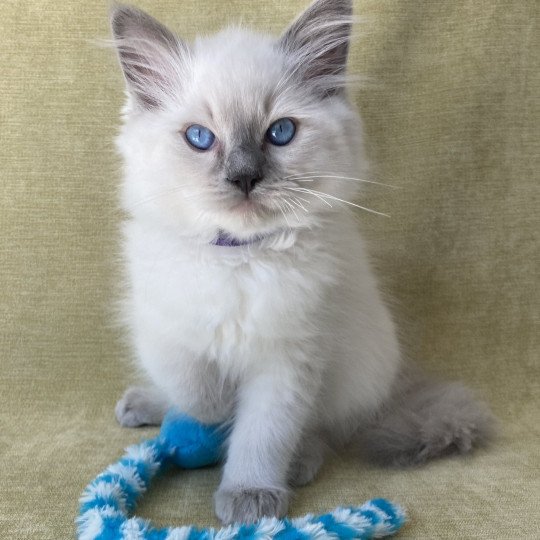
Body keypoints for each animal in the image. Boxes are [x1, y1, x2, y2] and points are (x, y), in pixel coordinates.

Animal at [109, 0, 494, 524]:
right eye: (200, 138)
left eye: (280, 133)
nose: (244, 177)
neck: (241, 257)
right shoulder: (164, 326)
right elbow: (195, 389)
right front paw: (215, 410)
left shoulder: (290, 358)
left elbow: (262, 432)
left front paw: (249, 494)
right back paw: (145, 404)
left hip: (356, 371)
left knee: (324, 431)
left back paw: (298, 463)